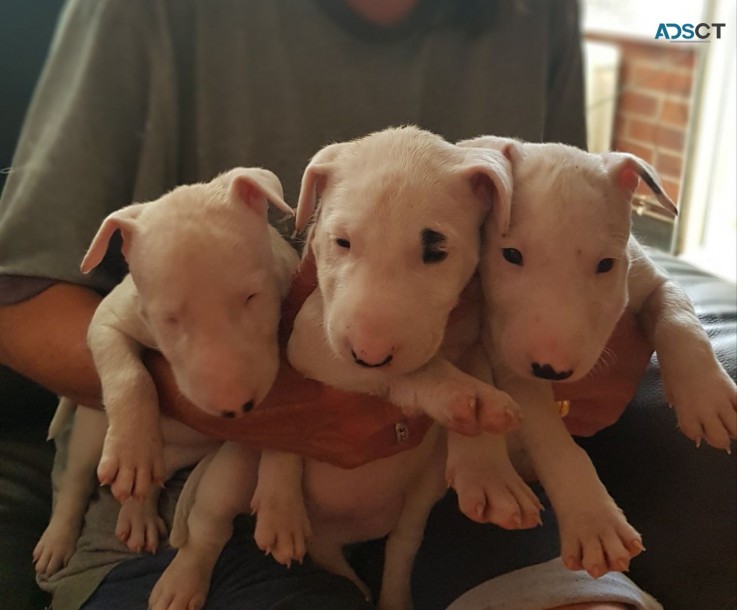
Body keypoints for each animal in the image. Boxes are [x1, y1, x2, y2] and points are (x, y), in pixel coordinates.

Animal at [31, 170, 296, 576]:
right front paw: (132, 453)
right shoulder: (108, 320)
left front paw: (282, 511)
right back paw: (59, 538)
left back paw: (138, 515)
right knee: (77, 478)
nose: (236, 408)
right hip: (93, 427)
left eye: (252, 296)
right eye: (169, 318)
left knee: (156, 477)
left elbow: (290, 430)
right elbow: (130, 377)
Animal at [151, 124, 528, 608]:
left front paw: (488, 468)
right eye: (341, 241)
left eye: (436, 250)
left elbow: (474, 365)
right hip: (233, 471)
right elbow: (406, 374)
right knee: (209, 528)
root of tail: (341, 533)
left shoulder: (467, 332)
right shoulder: (313, 336)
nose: (368, 354)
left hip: (421, 492)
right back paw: (194, 574)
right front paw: (463, 395)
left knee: (402, 545)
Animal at [458, 135, 732, 576]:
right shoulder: (512, 365)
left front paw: (706, 398)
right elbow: (552, 438)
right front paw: (594, 521)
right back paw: (489, 475)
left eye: (606, 264)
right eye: (510, 254)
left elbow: (680, 317)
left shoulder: (649, 278)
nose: (551, 368)